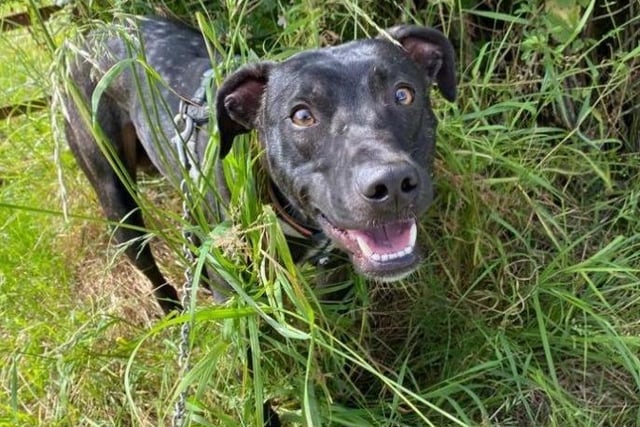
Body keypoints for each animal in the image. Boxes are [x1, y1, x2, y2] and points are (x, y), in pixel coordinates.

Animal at [62, 15, 456, 314]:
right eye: (301, 116)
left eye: (403, 94)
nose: (390, 184)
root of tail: (94, 32)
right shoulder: (236, 299)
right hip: (118, 203)